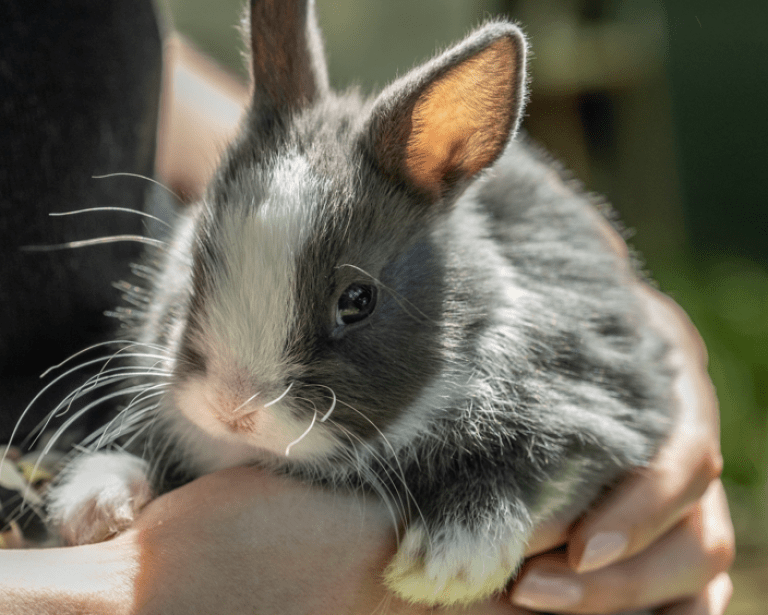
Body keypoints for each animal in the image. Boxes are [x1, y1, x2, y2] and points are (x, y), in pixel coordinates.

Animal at [45, 0, 673, 606]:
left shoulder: (605, 402)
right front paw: (93, 503)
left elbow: (548, 463)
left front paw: (447, 564)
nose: (231, 408)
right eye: (197, 261)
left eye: (358, 299)